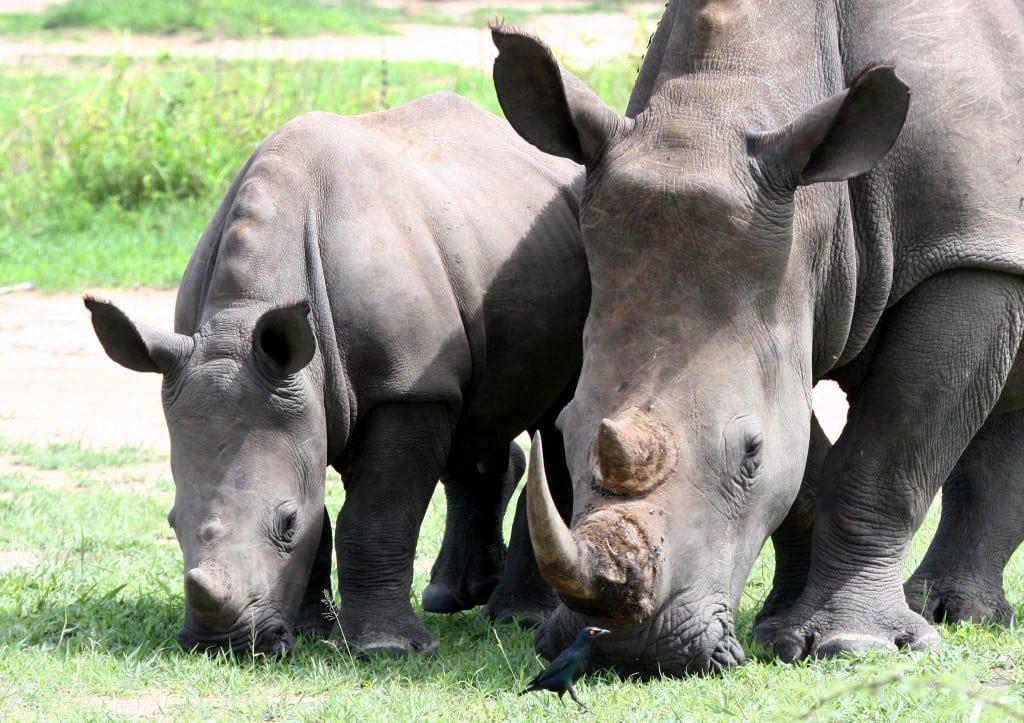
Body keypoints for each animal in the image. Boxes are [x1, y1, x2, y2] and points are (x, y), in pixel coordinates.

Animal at [86, 92, 586, 656]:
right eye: (171, 522)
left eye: (286, 522)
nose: (222, 644)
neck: (242, 315)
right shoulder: (288, 386)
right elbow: (321, 508)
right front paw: (310, 630)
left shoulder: (406, 388)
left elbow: (377, 514)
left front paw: (384, 650)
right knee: (477, 406)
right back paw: (451, 598)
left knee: (559, 414)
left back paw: (516, 619)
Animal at [491, 0, 1024, 674]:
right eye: (562, 433)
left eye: (751, 453)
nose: (627, 648)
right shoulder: (789, 295)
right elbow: (807, 469)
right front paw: (780, 628)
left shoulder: (970, 255)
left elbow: (884, 463)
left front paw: (854, 644)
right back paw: (957, 613)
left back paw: (950, 616)